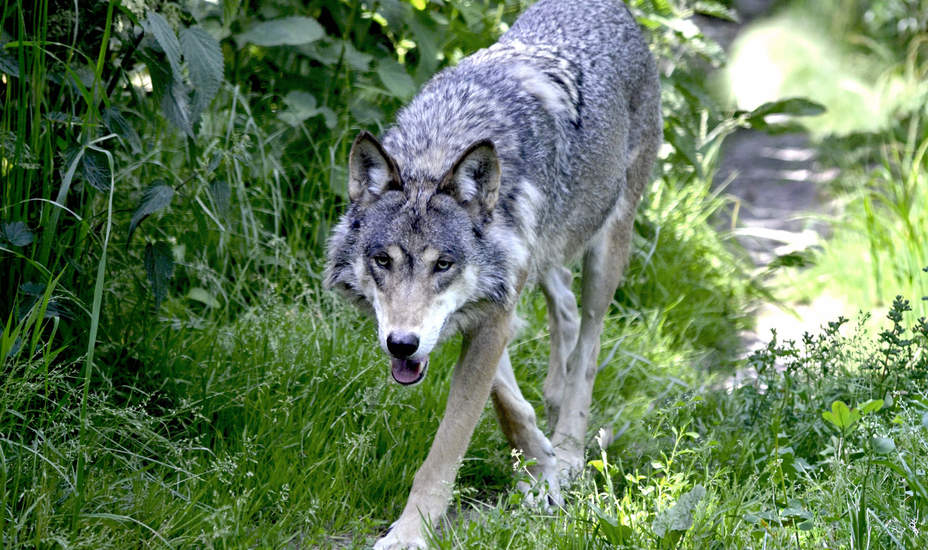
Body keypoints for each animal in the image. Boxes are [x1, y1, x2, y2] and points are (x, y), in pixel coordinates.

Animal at [324, 0, 661, 547]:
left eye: (443, 264)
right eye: (383, 261)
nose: (402, 344)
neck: (438, 149)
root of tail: (612, 9)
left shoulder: (493, 309)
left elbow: (448, 446)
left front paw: (412, 532)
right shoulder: (487, 304)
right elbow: (506, 399)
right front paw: (538, 464)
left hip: (608, 247)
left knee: (589, 344)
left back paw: (571, 446)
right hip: (546, 256)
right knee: (564, 308)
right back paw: (553, 409)